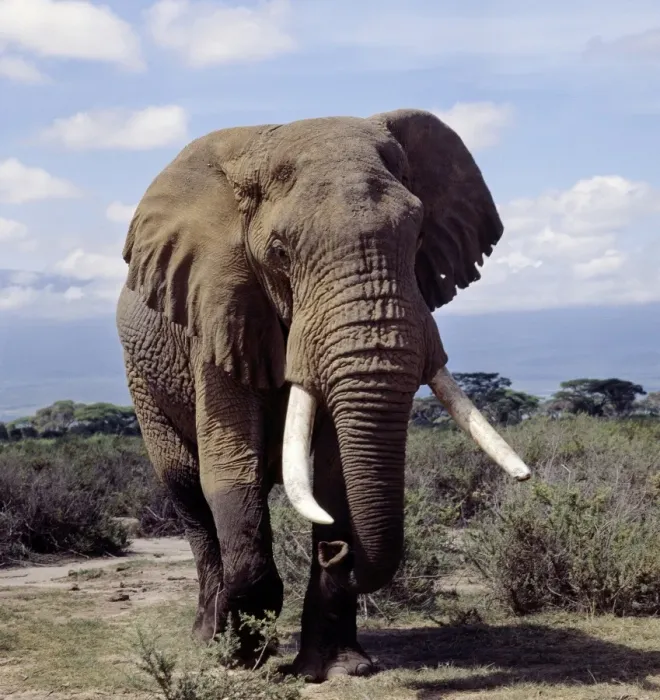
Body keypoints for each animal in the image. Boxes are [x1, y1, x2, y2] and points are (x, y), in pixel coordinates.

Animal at [115, 108, 530, 682]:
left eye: (419, 236)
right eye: (280, 253)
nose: (338, 547)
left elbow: (334, 475)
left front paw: (338, 669)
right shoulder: (219, 308)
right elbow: (230, 467)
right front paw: (243, 661)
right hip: (143, 379)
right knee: (186, 489)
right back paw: (208, 640)